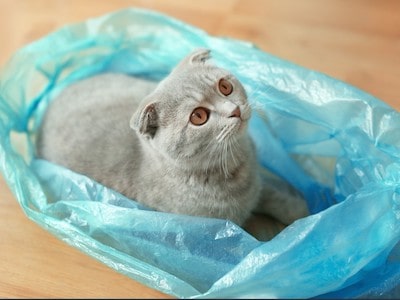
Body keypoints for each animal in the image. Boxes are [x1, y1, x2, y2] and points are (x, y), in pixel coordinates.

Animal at [36, 48, 308, 230]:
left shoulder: (258, 184)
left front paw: (299, 211)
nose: (235, 110)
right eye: (199, 116)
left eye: (225, 87)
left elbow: (271, 193)